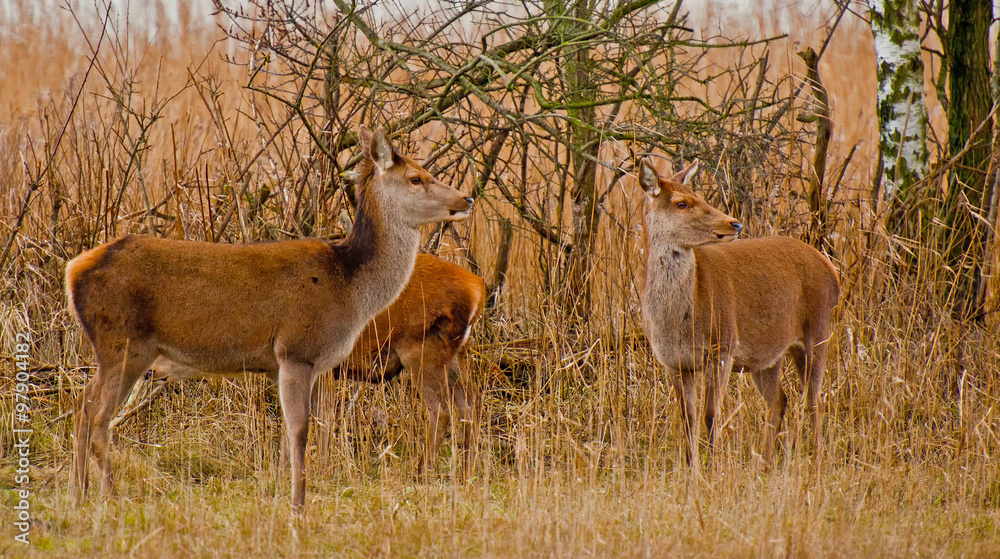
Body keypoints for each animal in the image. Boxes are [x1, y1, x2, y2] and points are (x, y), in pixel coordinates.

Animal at [149, 253, 485, 476]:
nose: (149, 372)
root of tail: (477, 288)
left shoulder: (319, 366)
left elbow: (321, 417)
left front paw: (320, 468)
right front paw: (285, 470)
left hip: (422, 347)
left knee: (441, 410)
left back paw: (422, 471)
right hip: (456, 353)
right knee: (470, 405)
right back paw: (467, 472)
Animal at [636, 158, 839, 469]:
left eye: (700, 196)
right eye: (682, 203)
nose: (734, 222)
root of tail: (832, 272)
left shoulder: (723, 346)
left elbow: (710, 415)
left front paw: (713, 466)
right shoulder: (673, 362)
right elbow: (687, 418)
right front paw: (691, 468)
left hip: (817, 331)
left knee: (813, 399)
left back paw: (816, 460)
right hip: (768, 355)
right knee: (780, 399)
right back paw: (765, 462)